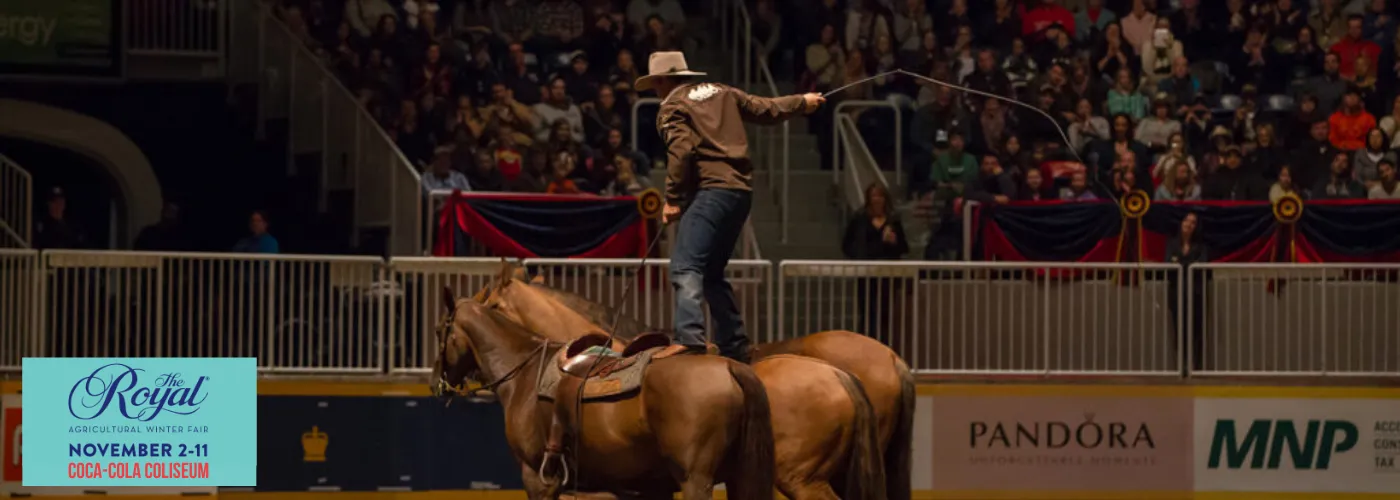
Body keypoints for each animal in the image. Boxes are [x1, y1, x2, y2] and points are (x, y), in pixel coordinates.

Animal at [431, 289, 778, 495]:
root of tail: (730, 367)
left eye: (437, 331)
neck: (523, 375)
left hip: (696, 480)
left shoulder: (537, 479)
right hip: (739, 477)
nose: (436, 382)